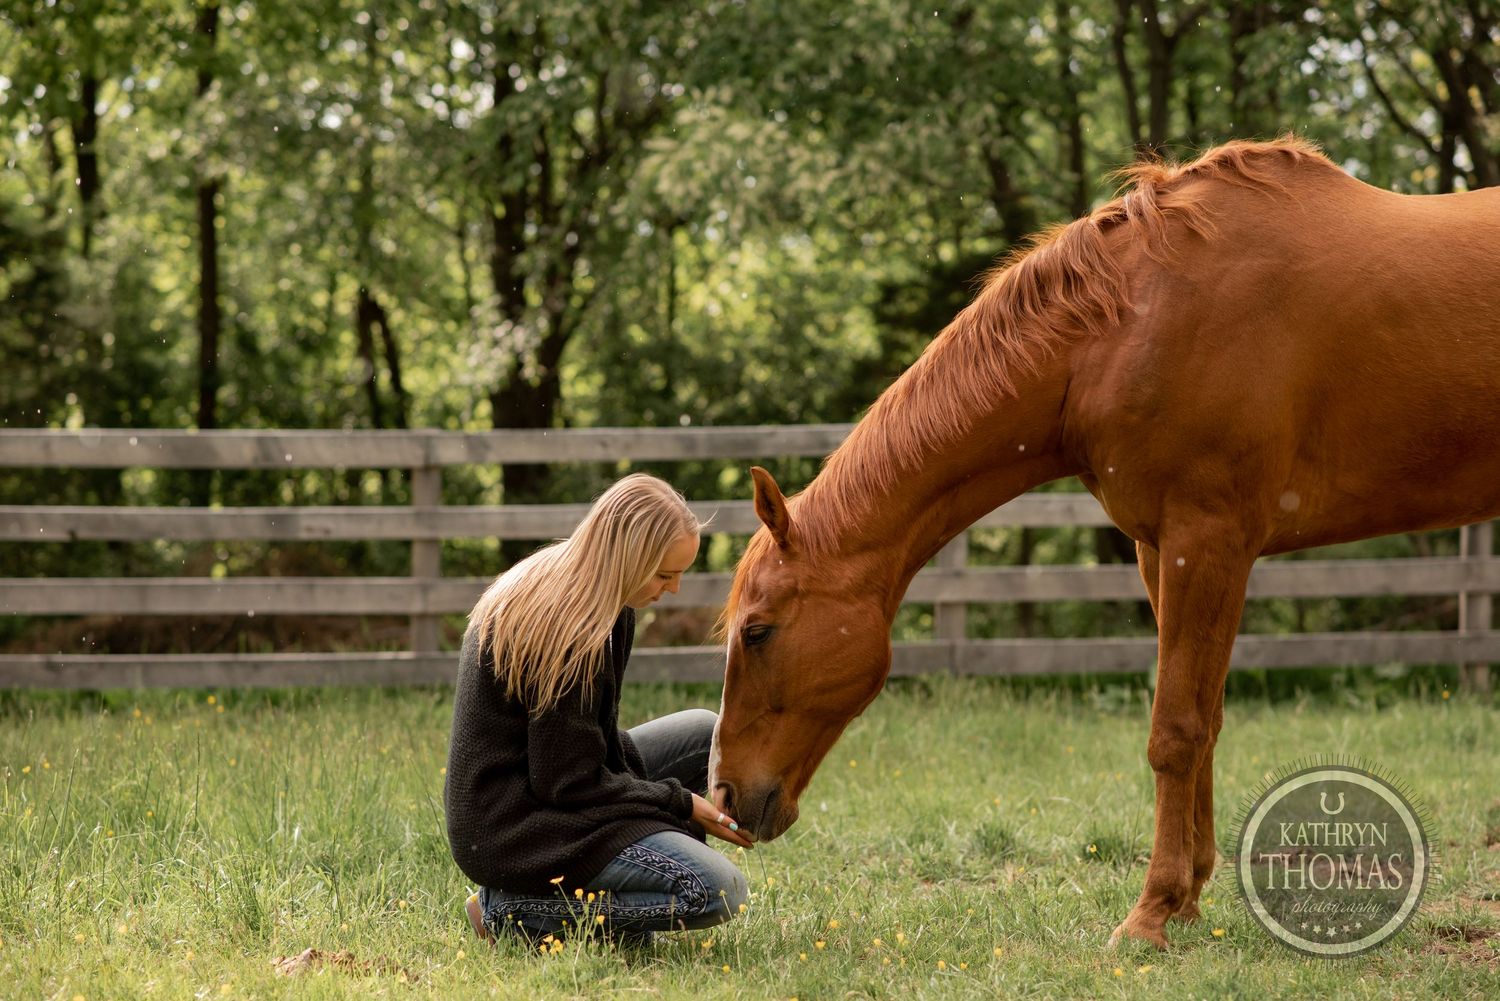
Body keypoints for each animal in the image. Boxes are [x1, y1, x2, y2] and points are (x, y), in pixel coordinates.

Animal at [706, 137, 1500, 949]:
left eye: (757, 631)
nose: (726, 796)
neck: (1129, 325)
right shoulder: (1162, 550)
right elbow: (1206, 720)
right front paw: (1188, 897)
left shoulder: (1206, 542)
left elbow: (1174, 729)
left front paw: (1150, 913)